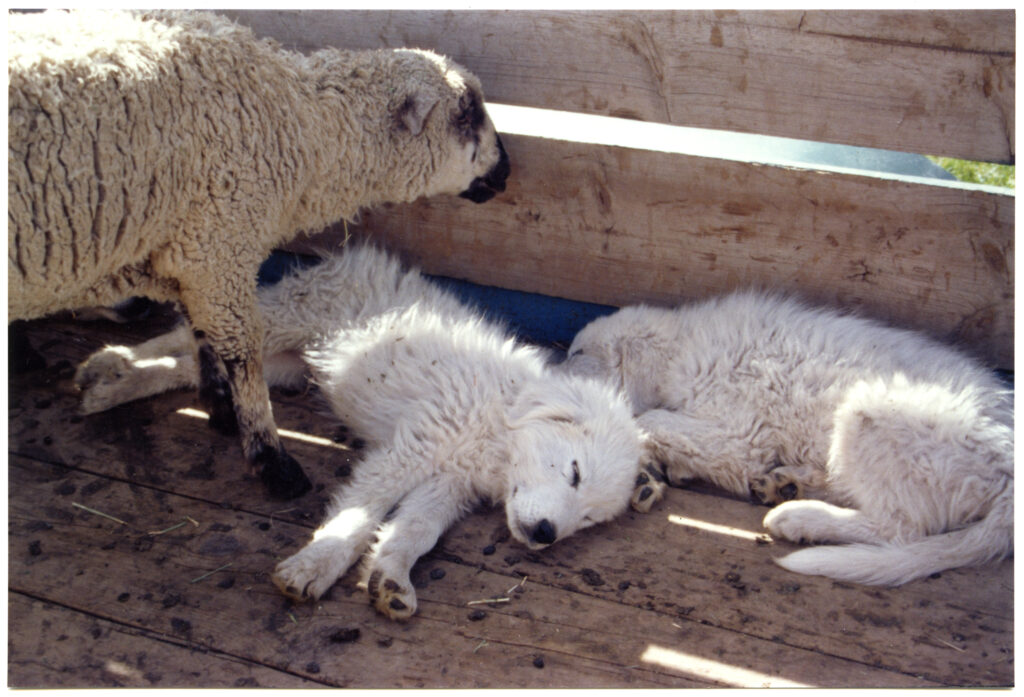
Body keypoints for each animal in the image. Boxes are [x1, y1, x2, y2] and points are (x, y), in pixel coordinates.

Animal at [4, 10, 507, 499]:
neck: (301, 126)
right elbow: (243, 356)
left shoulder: (198, 247)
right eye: (467, 113)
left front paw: (219, 405)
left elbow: (200, 332)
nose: (506, 169)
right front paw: (272, 461)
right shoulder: (222, 241)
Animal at [75, 245, 643, 618]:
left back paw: (111, 384)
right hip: (290, 316)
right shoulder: (416, 446)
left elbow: (415, 530)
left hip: (285, 365)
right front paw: (313, 568)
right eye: (574, 473)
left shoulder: (448, 484)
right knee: (184, 336)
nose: (546, 534)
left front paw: (390, 579)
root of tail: (351, 256)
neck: (498, 429)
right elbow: (359, 515)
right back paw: (107, 362)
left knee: (191, 365)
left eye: (588, 520)